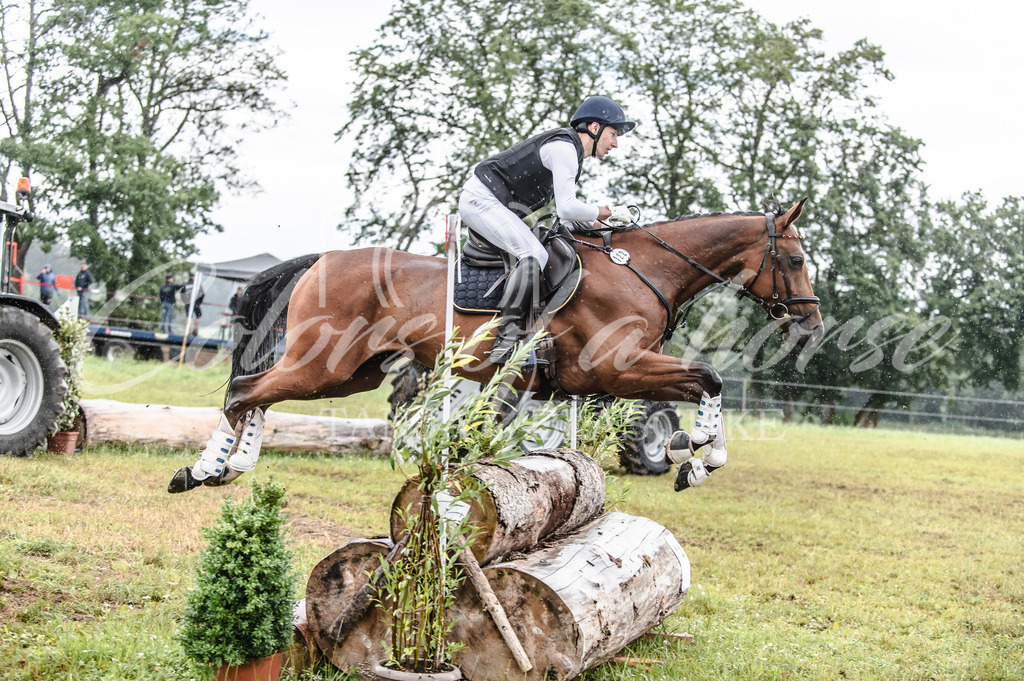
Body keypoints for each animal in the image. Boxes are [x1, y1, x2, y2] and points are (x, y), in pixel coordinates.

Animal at [167, 199, 823, 491]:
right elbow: (709, 376)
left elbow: (702, 383)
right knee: (244, 391)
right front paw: (697, 452)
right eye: (794, 260)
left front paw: (697, 453)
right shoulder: (617, 368)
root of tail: (322, 259)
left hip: (353, 371)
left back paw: (230, 467)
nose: (812, 326)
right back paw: (204, 470)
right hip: (323, 363)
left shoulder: (599, 380)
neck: (643, 270)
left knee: (255, 394)